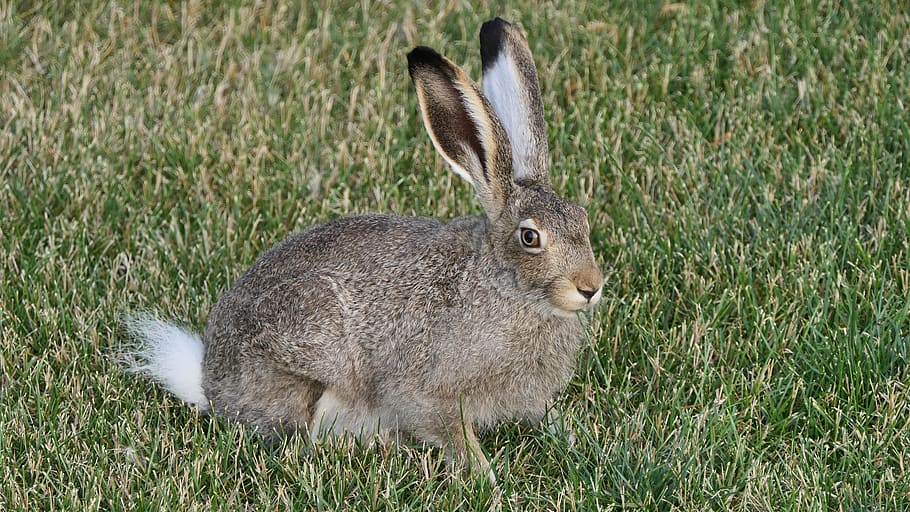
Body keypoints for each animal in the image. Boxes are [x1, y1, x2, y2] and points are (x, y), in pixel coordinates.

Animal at [126, 17, 603, 483]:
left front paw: (570, 435)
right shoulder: (428, 391)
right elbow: (450, 431)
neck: (505, 285)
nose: (590, 287)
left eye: (583, 220)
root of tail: (211, 383)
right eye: (530, 237)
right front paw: (487, 478)